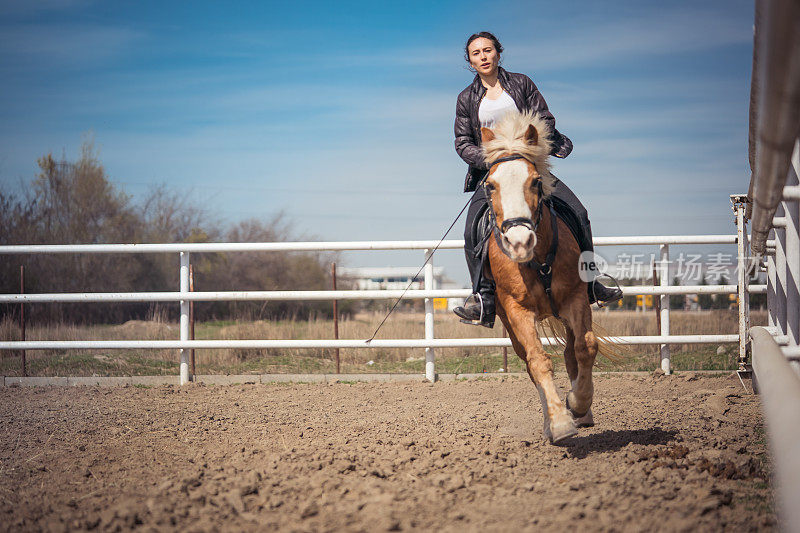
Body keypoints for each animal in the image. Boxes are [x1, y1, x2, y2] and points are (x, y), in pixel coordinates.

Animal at [482, 110, 608, 442]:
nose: (519, 242)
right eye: (490, 185)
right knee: (530, 361)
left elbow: (586, 347)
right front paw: (560, 423)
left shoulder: (576, 298)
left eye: (536, 181)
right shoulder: (517, 310)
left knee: (571, 351)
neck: (538, 261)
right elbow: (538, 361)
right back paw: (551, 423)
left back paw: (581, 412)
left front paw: (578, 404)